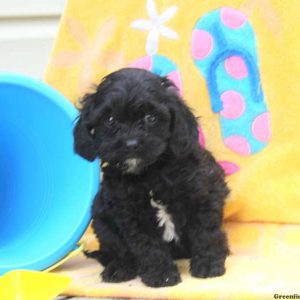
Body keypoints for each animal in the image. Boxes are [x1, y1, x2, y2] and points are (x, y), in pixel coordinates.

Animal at [74, 68, 229, 288]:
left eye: (151, 117)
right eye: (110, 119)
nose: (131, 143)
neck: (150, 173)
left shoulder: (202, 195)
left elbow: (206, 232)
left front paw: (208, 265)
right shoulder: (130, 214)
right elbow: (148, 246)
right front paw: (162, 275)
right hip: (100, 217)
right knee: (117, 250)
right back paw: (118, 269)